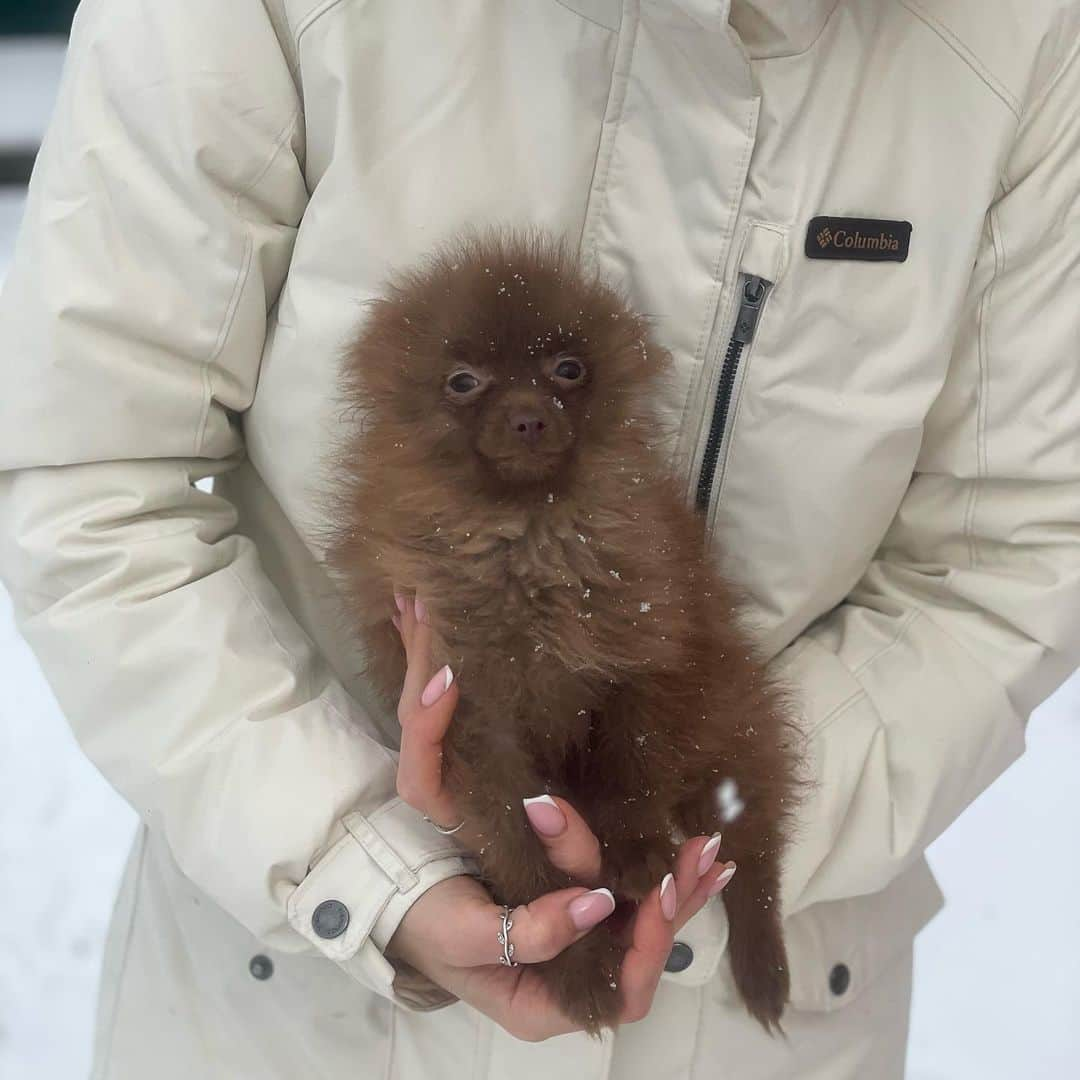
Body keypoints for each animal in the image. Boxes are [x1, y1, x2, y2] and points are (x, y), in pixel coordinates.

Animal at [328, 230, 803, 1036]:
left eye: (568, 369)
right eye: (464, 381)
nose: (528, 416)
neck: (528, 541)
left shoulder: (649, 645)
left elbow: (632, 763)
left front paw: (636, 854)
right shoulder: (466, 710)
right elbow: (519, 844)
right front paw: (581, 964)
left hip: (733, 715)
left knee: (753, 842)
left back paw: (763, 967)